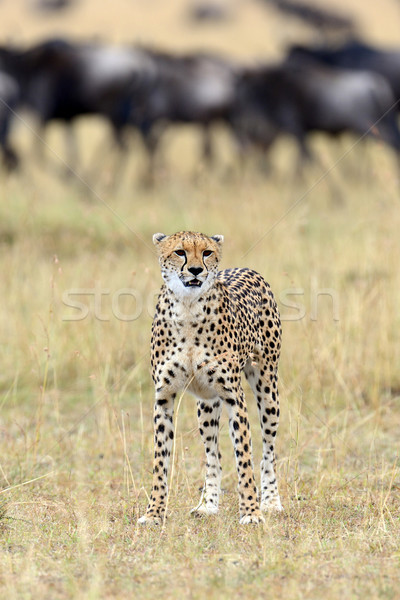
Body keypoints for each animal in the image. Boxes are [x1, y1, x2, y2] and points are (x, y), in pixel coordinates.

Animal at [139, 231, 282, 524]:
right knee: (213, 454)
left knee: (268, 449)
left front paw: (251, 512)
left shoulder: (233, 396)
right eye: (180, 252)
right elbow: (160, 461)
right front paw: (154, 513)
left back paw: (271, 501)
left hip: (267, 388)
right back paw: (208, 504)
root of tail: (246, 268)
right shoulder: (163, 397)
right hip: (206, 405)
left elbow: (245, 458)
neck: (188, 308)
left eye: (207, 252)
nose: (196, 270)